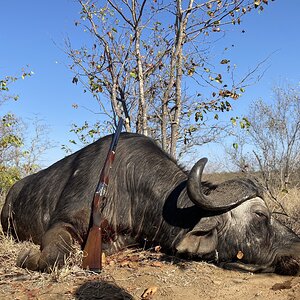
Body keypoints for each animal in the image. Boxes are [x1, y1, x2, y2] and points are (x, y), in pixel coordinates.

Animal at [0, 133, 300, 274]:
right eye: (261, 215)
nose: (297, 245)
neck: (126, 183)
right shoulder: (62, 223)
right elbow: (53, 257)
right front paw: (27, 256)